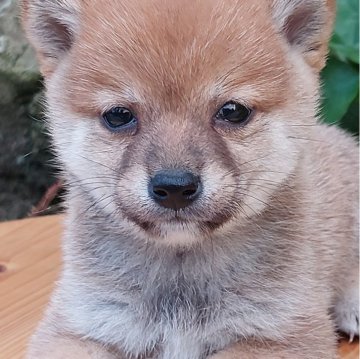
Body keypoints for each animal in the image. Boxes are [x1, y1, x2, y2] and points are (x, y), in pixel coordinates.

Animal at [21, 0, 358, 359]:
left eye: (233, 111)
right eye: (118, 116)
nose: (174, 187)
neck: (181, 270)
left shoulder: (286, 331)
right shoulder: (80, 324)